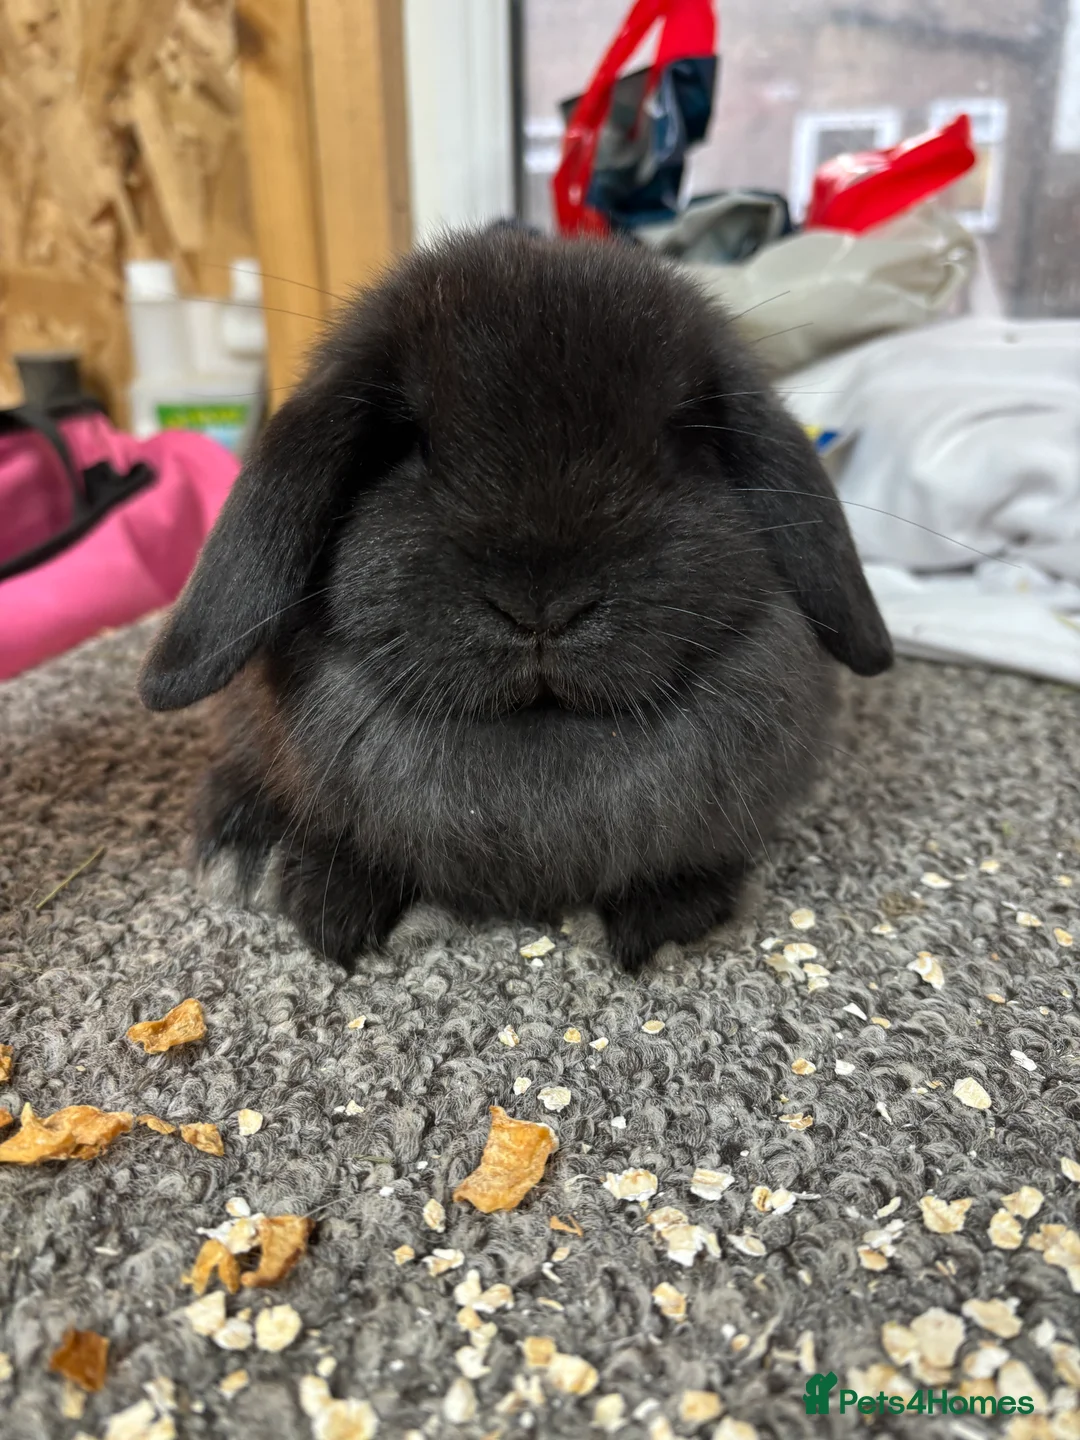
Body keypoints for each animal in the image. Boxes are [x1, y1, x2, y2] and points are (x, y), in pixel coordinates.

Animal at [138, 225, 892, 973]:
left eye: (679, 440)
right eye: (406, 440)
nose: (542, 606)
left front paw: (668, 921)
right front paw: (343, 907)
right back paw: (242, 848)